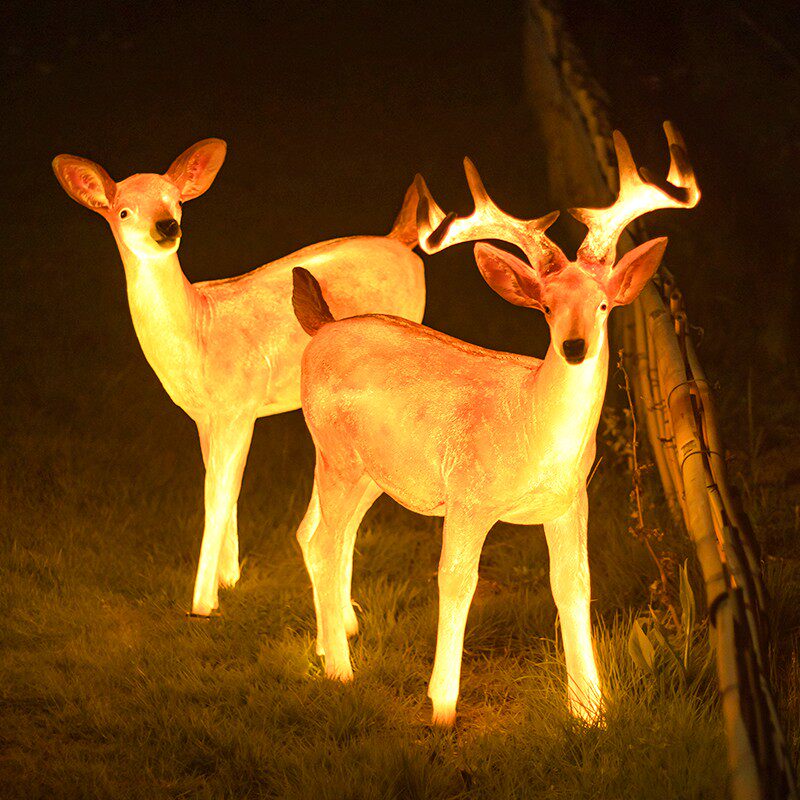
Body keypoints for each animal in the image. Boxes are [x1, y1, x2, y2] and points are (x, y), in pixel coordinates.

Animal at [52, 139, 426, 617]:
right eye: (123, 211)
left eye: (176, 201)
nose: (166, 226)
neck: (200, 333)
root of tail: (401, 241)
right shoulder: (204, 415)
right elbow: (222, 487)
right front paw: (228, 579)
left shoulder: (240, 404)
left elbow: (218, 494)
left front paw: (202, 603)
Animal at [290, 123, 699, 725]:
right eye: (546, 307)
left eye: (603, 304)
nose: (574, 347)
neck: (530, 431)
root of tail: (322, 328)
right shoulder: (467, 496)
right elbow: (457, 582)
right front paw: (442, 705)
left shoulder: (571, 500)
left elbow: (574, 586)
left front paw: (590, 709)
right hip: (336, 454)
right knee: (323, 541)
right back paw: (341, 671)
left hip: (371, 472)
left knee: (324, 535)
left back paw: (332, 639)